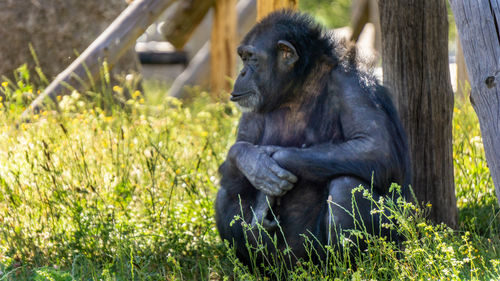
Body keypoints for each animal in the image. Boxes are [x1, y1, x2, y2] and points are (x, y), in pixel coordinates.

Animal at [215, 9, 410, 266]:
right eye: (243, 57)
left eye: (252, 58)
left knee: (346, 187)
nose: (242, 71)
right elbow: (238, 148)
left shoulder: (351, 83)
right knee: (227, 191)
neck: (298, 85)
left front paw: (271, 164)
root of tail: (296, 265)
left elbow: (376, 146)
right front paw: (252, 162)